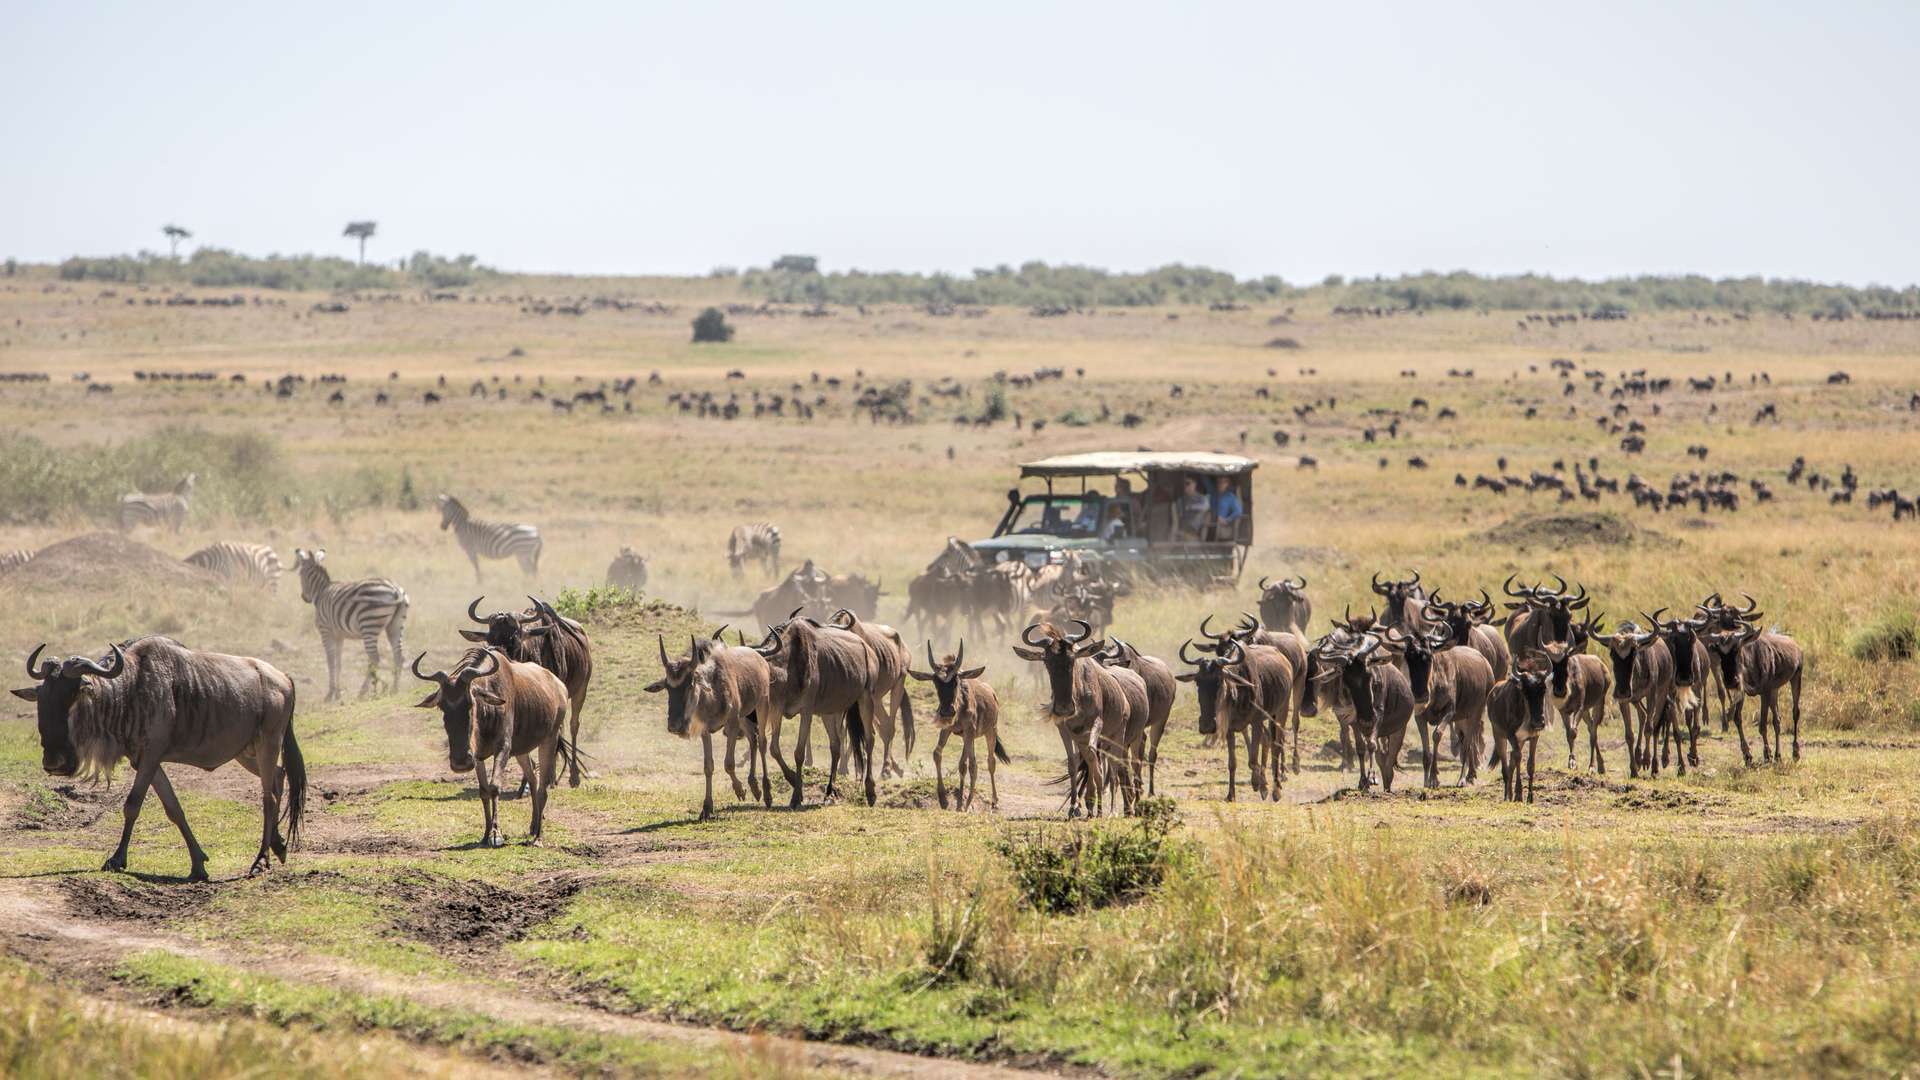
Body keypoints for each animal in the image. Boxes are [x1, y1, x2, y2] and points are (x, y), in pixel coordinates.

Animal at [291, 541, 408, 703]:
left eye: (300, 574)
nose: (304, 598)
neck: (321, 591)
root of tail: (396, 590)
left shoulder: (326, 631)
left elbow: (331, 661)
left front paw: (330, 694)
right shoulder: (339, 635)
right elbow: (339, 662)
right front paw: (337, 694)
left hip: (369, 624)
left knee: (374, 658)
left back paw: (362, 692)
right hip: (395, 625)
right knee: (398, 656)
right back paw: (394, 690)